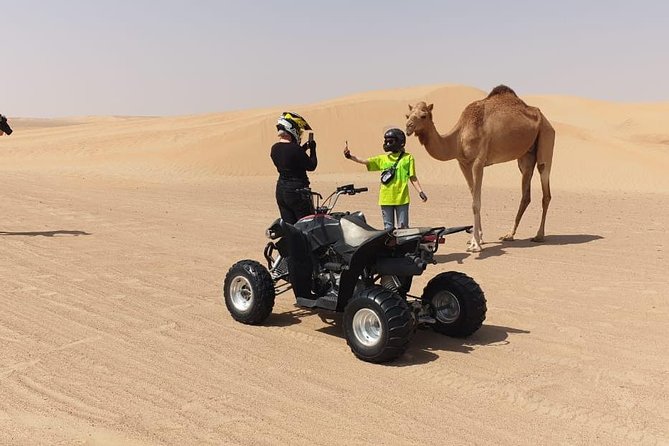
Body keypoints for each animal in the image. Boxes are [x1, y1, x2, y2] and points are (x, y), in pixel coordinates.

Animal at [405, 85, 555, 252]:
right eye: (407, 115)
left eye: (423, 115)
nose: (408, 127)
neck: (458, 137)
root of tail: (544, 118)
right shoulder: (463, 163)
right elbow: (473, 196)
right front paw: (478, 239)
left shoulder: (478, 162)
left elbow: (476, 203)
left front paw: (475, 244)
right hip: (525, 157)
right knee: (526, 193)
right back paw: (509, 235)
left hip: (546, 136)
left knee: (545, 188)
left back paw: (539, 235)